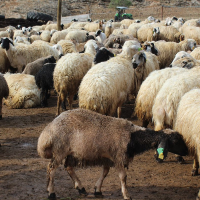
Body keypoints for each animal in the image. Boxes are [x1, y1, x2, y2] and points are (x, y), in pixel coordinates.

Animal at [37, 108, 189, 200]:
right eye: (176, 140)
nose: (187, 151)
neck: (133, 136)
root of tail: (48, 130)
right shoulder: (119, 157)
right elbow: (123, 177)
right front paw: (126, 195)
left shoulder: (108, 157)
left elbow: (105, 173)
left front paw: (97, 190)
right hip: (59, 149)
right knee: (51, 169)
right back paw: (51, 192)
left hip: (71, 152)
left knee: (68, 167)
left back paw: (81, 188)